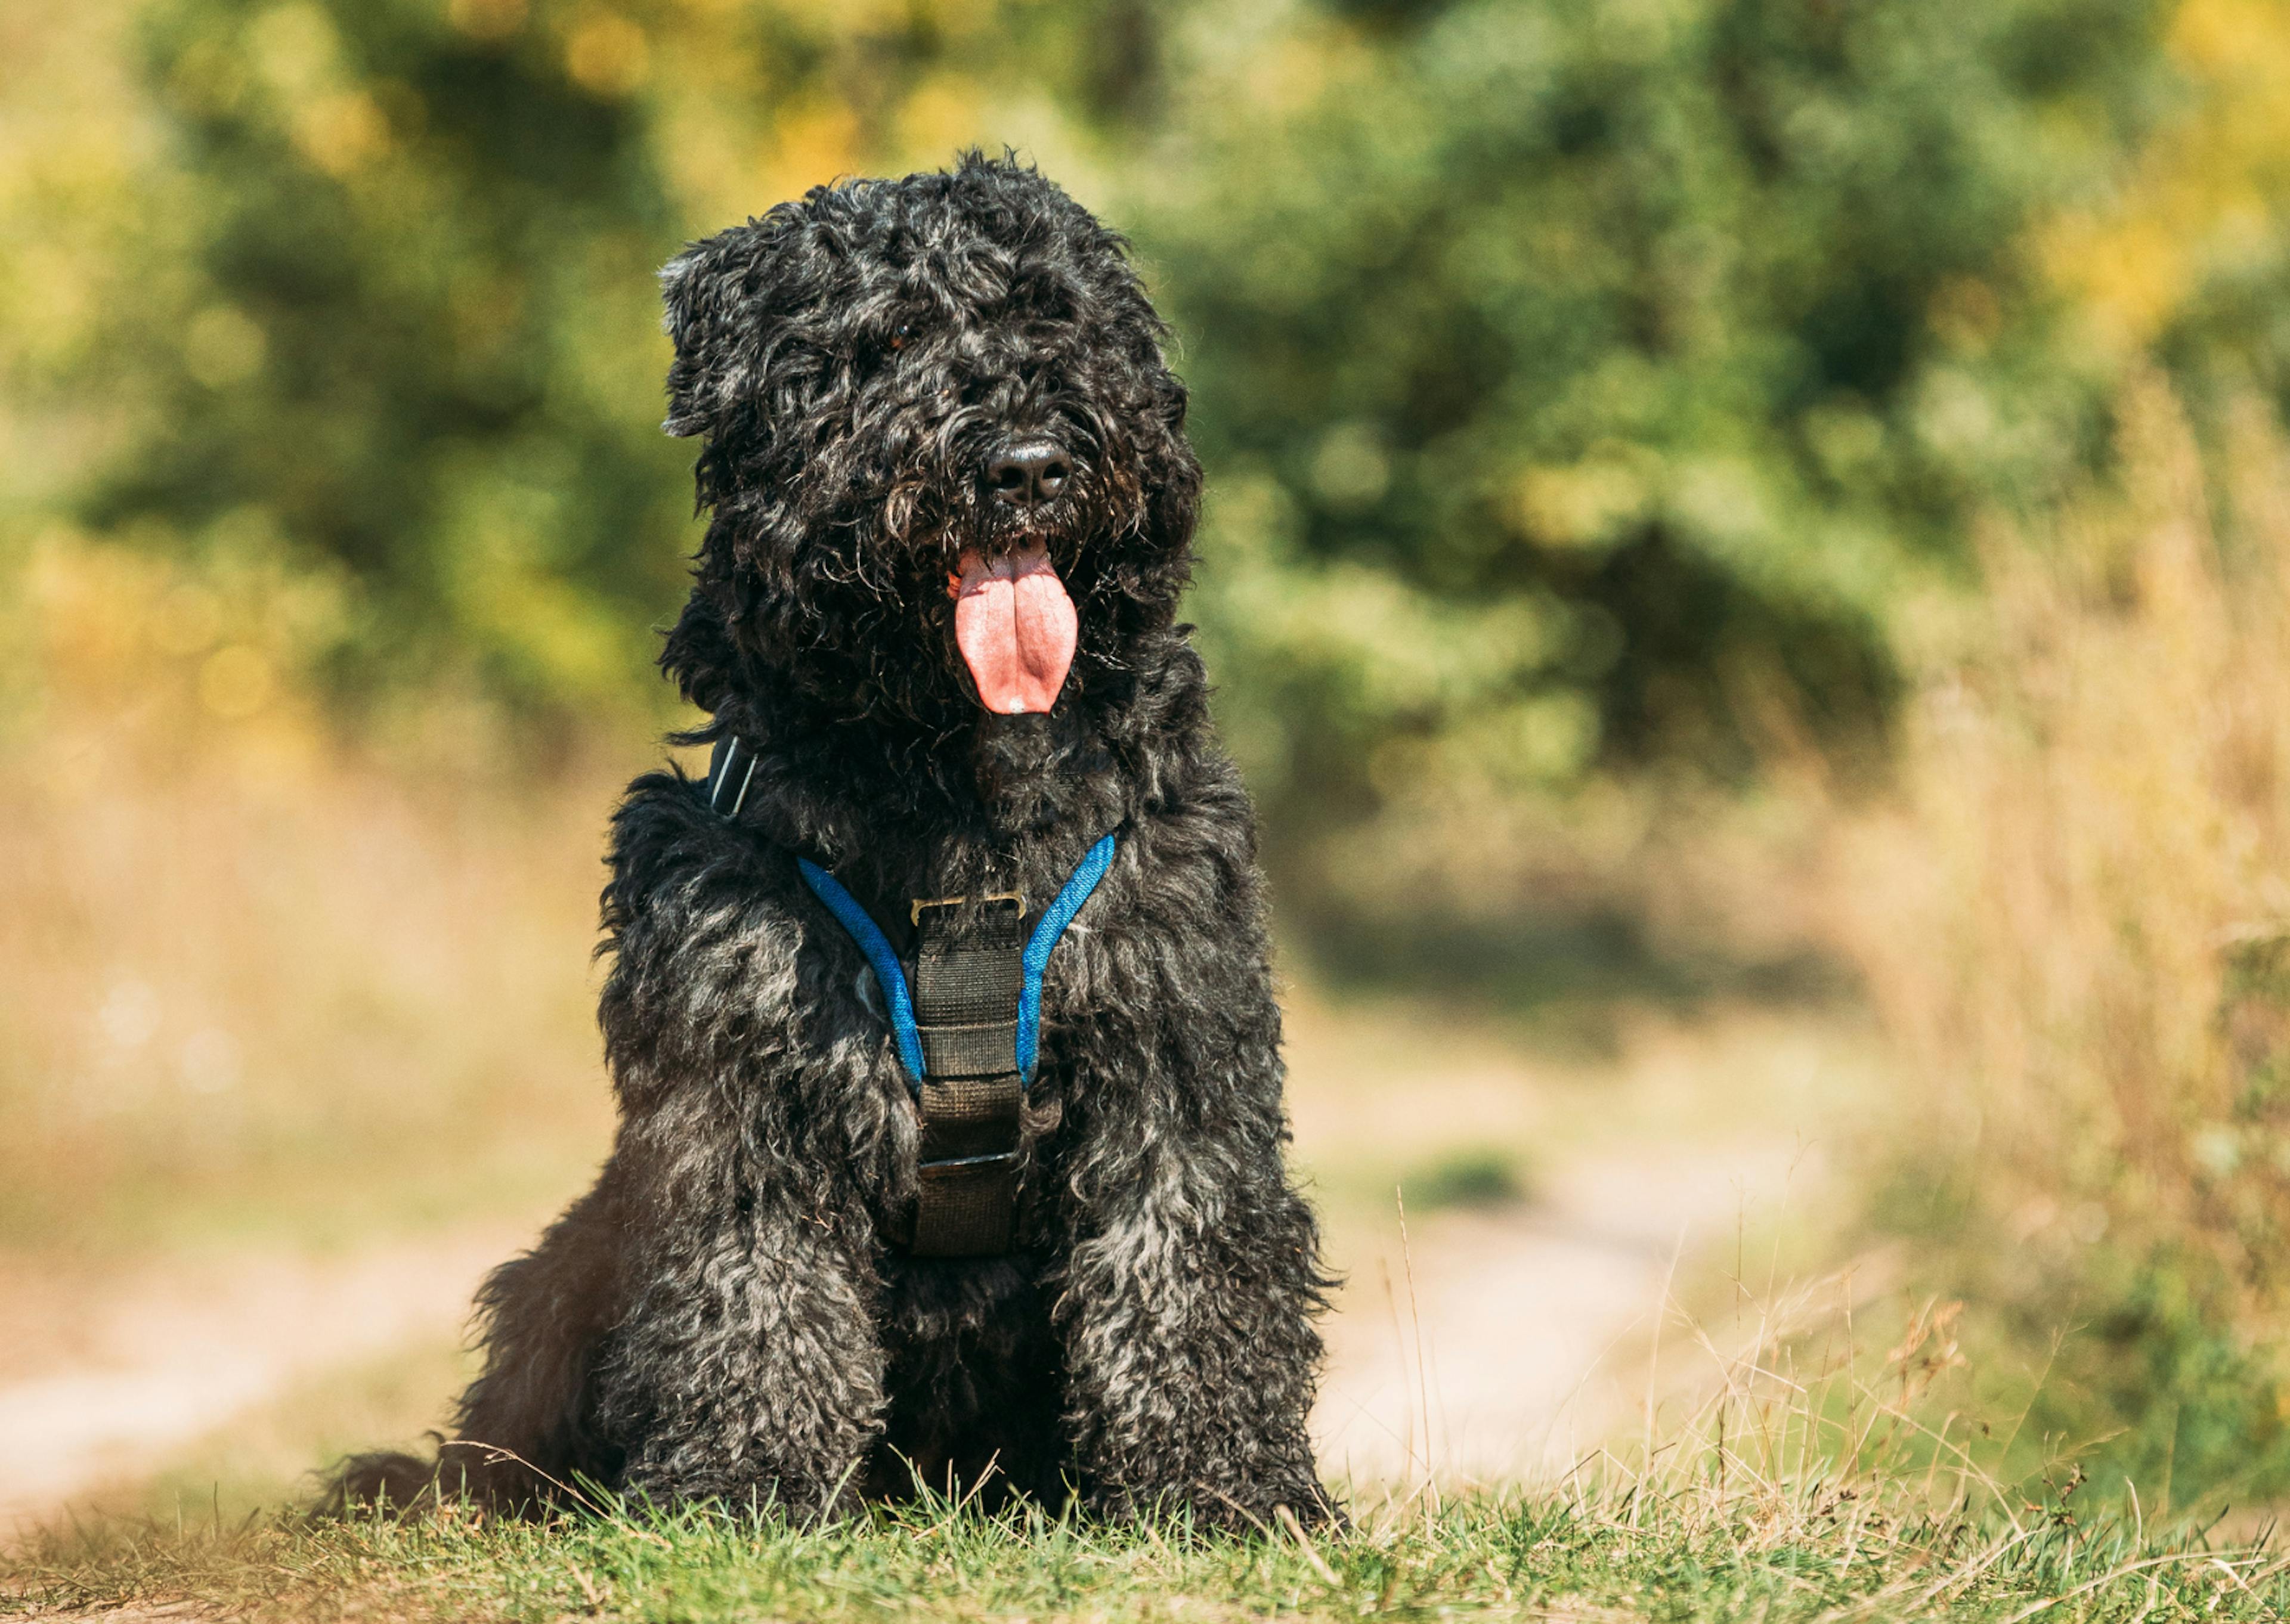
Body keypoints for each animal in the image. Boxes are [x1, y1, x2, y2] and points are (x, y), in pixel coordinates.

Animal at [334, 158, 1337, 1530]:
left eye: (1056, 319)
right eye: (897, 337)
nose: (1029, 465)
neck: (958, 785)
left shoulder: (1173, 1035)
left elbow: (1188, 1259)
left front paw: (1227, 1484)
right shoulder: (741, 1065)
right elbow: (753, 1285)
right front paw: (742, 1484)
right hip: (570, 1261)